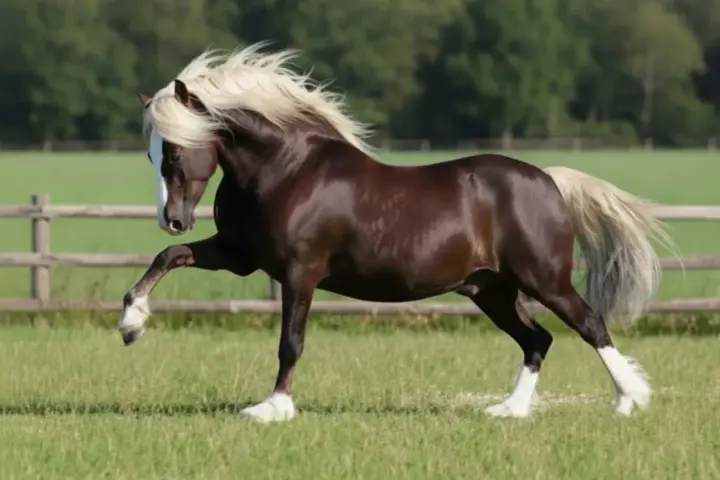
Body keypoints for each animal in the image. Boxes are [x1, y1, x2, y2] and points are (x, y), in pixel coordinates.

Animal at [118, 42, 675, 423]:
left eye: (174, 151)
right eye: (151, 153)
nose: (172, 218)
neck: (288, 170)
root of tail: (549, 181)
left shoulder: (300, 272)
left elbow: (290, 342)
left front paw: (272, 408)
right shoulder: (240, 257)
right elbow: (168, 258)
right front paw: (131, 324)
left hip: (544, 280)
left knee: (590, 324)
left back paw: (629, 398)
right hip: (491, 289)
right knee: (537, 338)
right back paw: (508, 410)